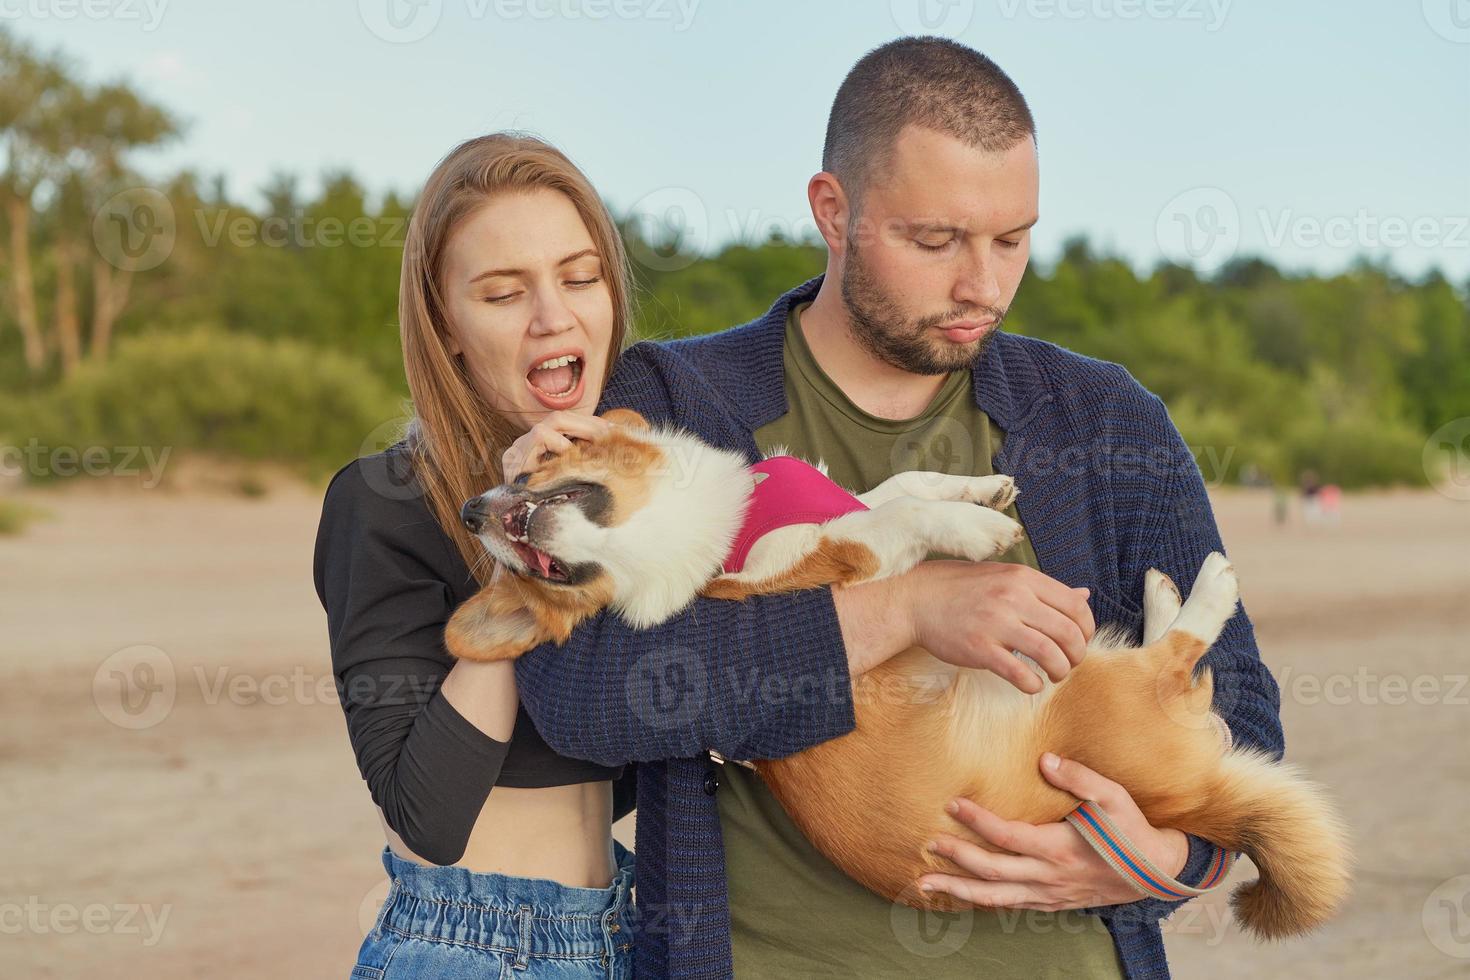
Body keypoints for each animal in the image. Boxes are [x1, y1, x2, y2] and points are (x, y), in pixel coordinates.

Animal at [449, 408, 1352, 940]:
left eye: (525, 471)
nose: (469, 510)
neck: (702, 530)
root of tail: (1191, 800)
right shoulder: (826, 564)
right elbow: (899, 514)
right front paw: (975, 529)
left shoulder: (844, 504)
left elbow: (896, 483)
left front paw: (982, 487)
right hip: (1093, 691)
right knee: (1176, 661)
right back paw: (1199, 593)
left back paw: (1164, 593)